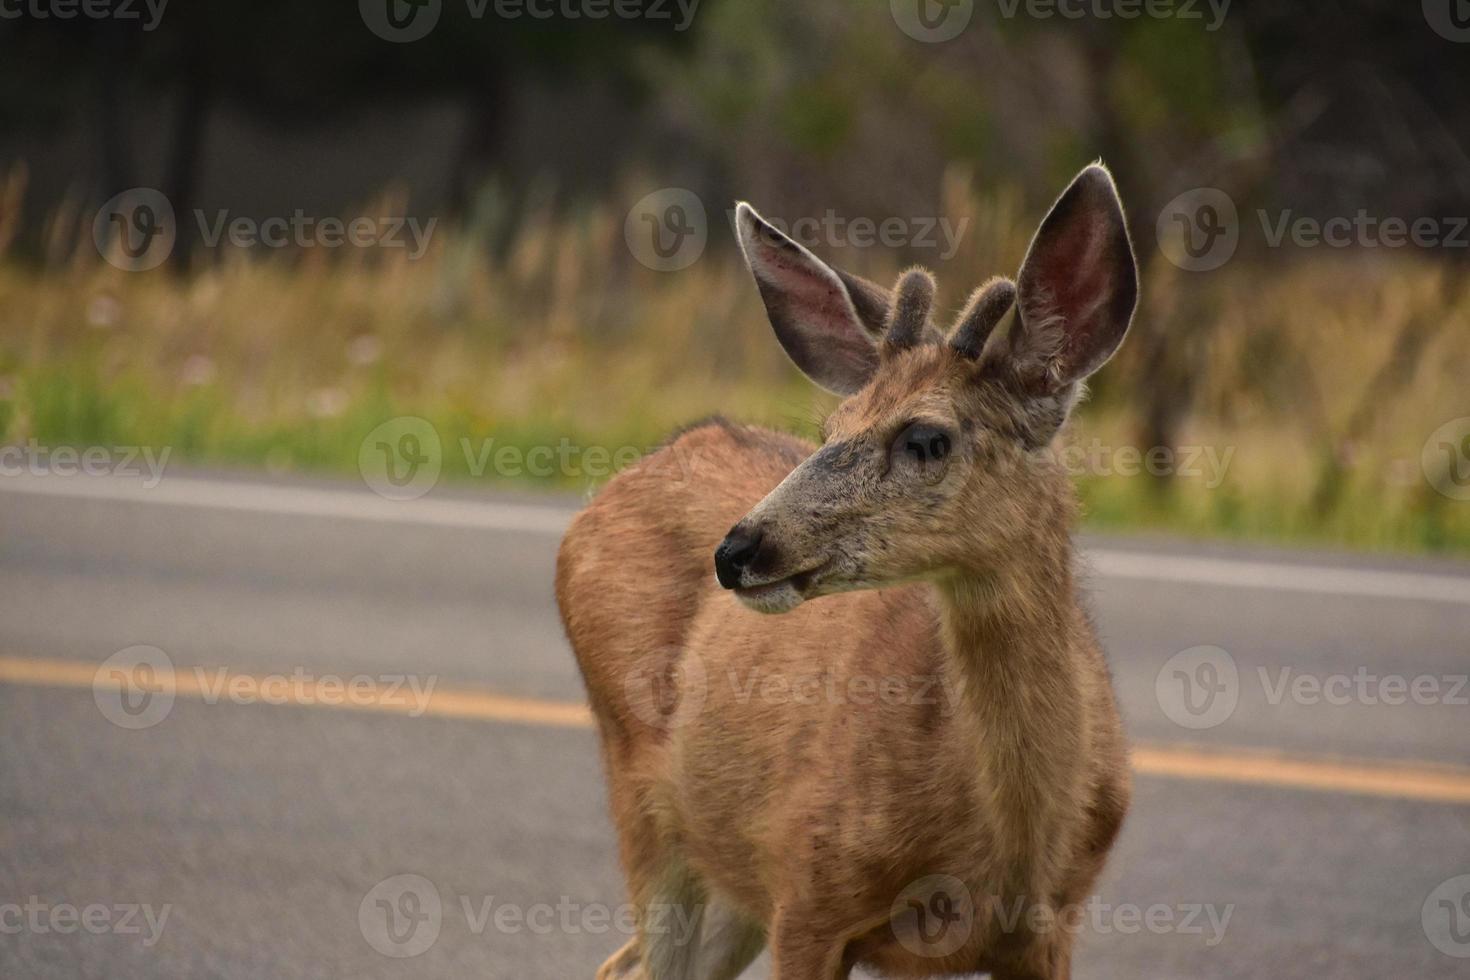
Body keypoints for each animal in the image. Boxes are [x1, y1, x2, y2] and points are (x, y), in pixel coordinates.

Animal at [555, 164, 1140, 975]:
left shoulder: (1049, 929)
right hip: (645, 795)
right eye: (829, 429)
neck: (1006, 838)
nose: (738, 551)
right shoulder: (807, 888)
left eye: (926, 438)